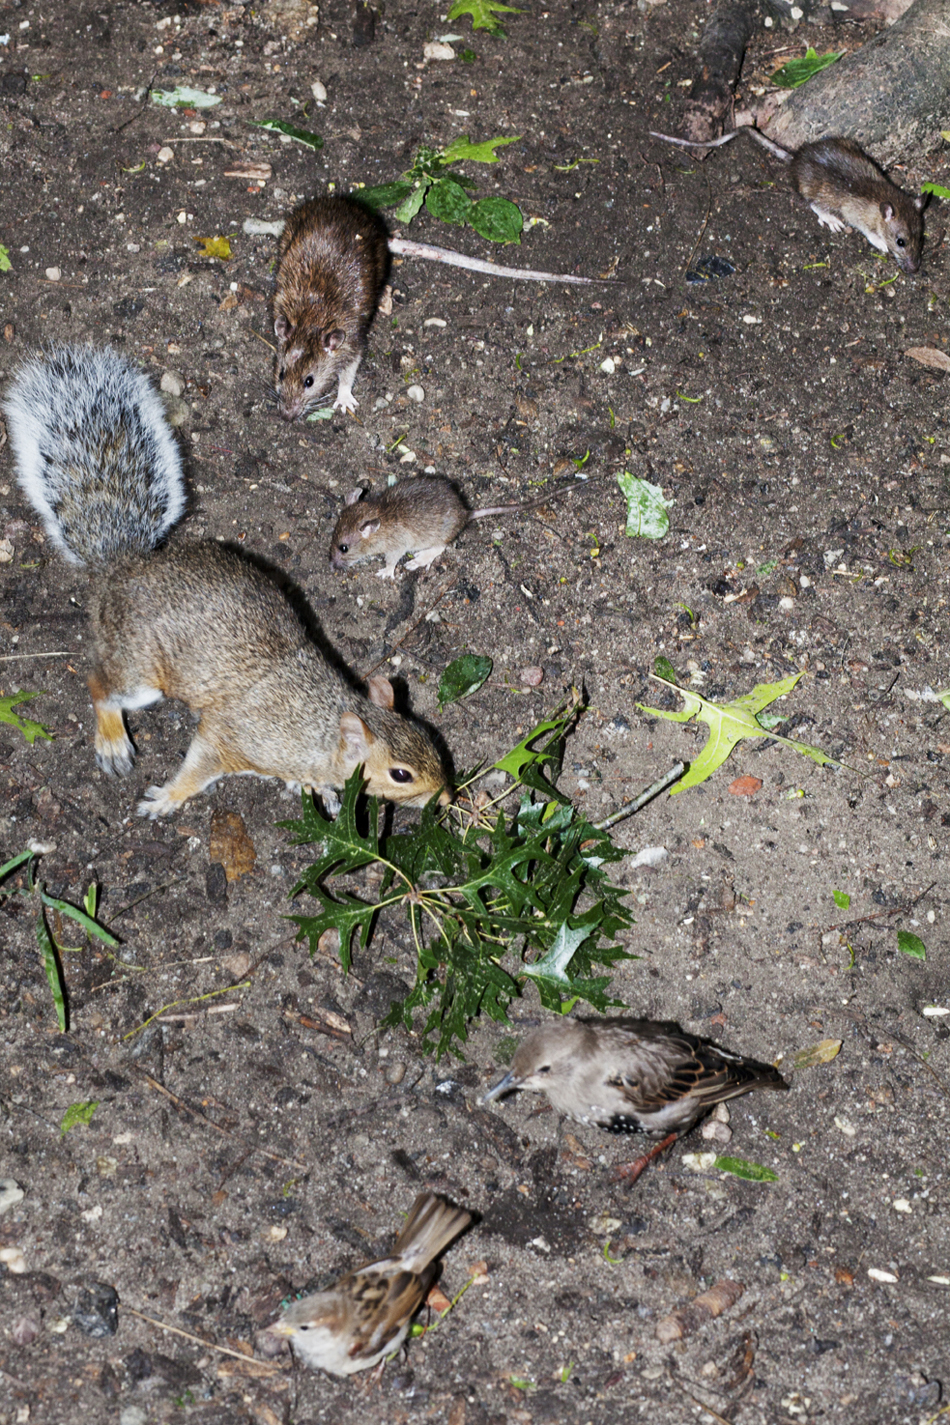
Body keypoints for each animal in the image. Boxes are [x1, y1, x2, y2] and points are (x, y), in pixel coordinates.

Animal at [3, 345, 451, 819]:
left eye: (428, 738)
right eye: (400, 774)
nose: (448, 797)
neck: (320, 726)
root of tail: (120, 566)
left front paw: (319, 791)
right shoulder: (232, 736)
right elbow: (200, 765)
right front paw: (168, 798)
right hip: (139, 670)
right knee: (101, 685)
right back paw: (112, 741)